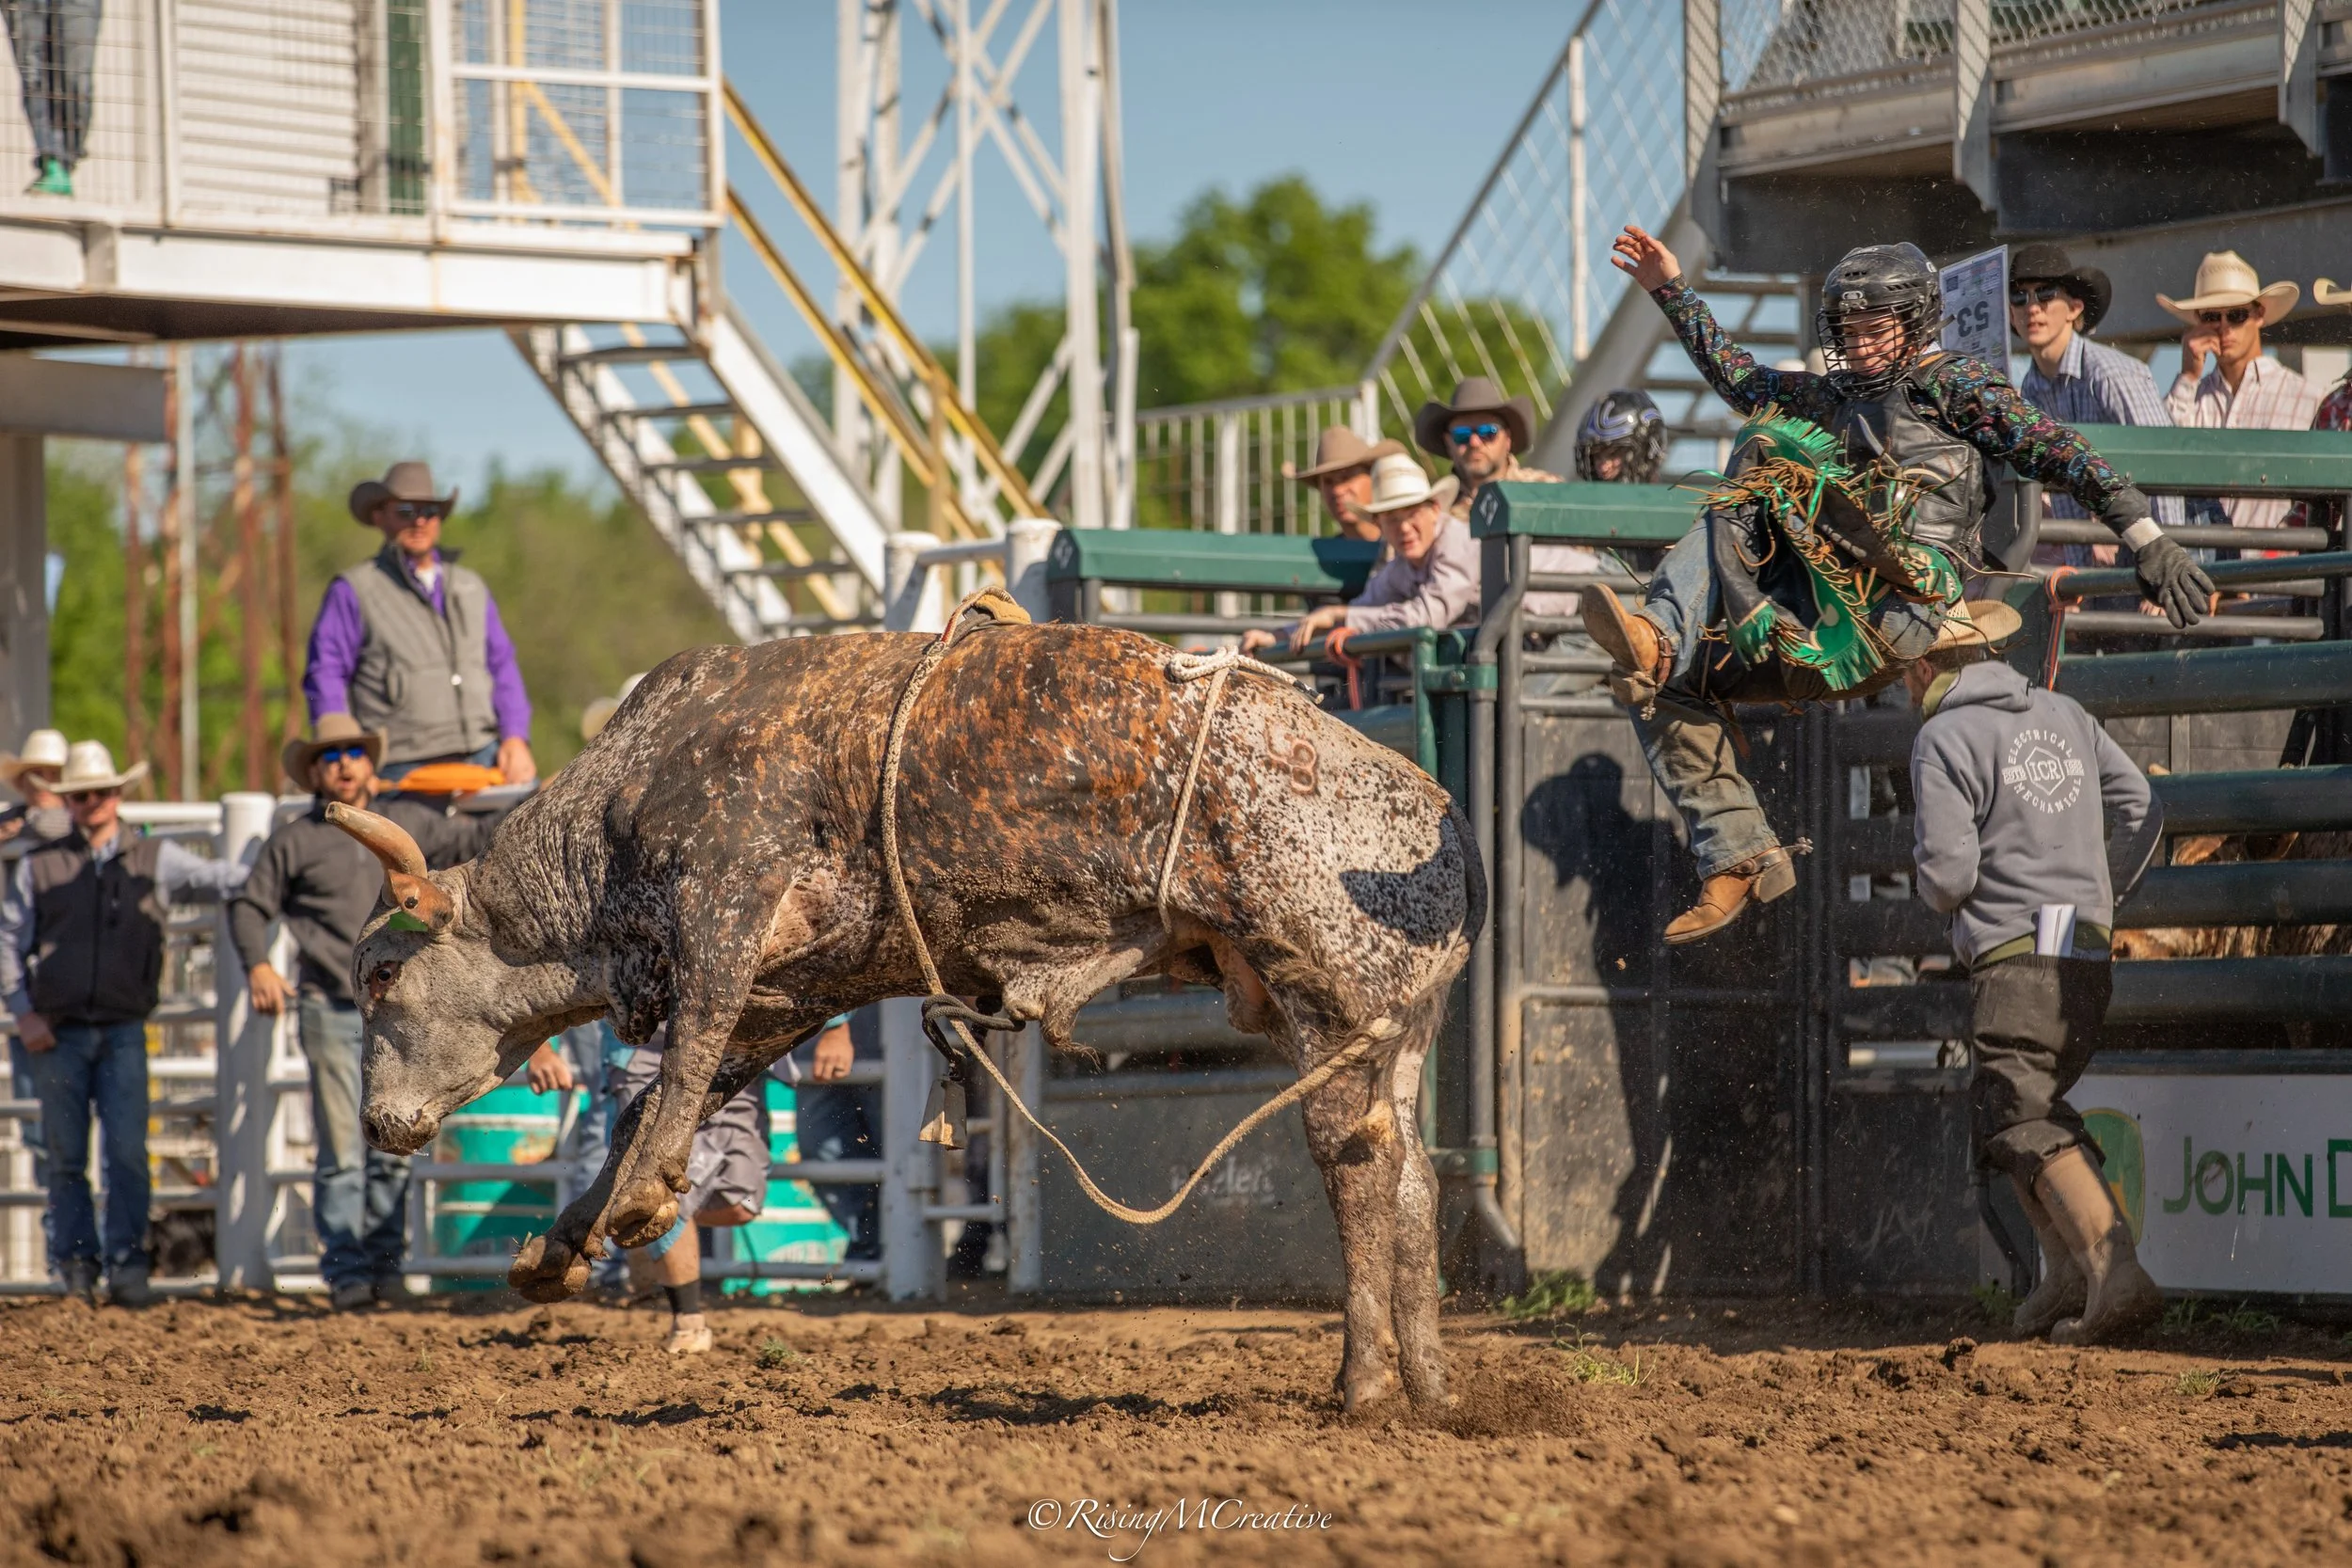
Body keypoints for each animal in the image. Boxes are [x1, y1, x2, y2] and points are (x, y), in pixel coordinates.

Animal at [329, 613, 1482, 1412]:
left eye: (378, 974)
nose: (379, 1122)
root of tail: (1441, 816)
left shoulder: (726, 898)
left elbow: (684, 1056)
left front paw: (639, 1201)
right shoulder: (795, 991)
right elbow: (662, 1096)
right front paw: (559, 1244)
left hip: (1328, 1001)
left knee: (1357, 1162)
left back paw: (1364, 1381)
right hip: (1395, 1028)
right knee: (1413, 1174)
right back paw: (1432, 1385)